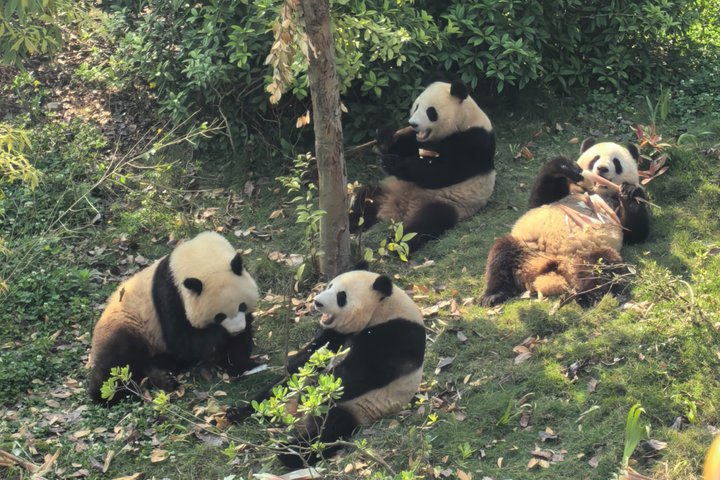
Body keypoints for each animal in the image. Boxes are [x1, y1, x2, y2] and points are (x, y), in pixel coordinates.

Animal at [89, 231, 259, 404]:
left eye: (242, 306)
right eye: (219, 316)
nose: (237, 330)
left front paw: (241, 365)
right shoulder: (170, 296)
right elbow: (182, 341)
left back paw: (159, 375)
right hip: (127, 323)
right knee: (116, 359)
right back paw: (109, 393)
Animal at [227, 267, 425, 467]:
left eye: (341, 296)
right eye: (330, 285)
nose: (317, 302)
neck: (382, 309)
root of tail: (295, 417)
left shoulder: (396, 335)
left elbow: (361, 373)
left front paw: (318, 388)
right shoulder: (338, 333)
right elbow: (315, 352)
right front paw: (295, 363)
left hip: (358, 408)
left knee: (329, 429)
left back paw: (290, 451)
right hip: (289, 393)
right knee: (274, 392)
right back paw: (239, 413)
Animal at [349, 80, 496, 251]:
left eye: (430, 111)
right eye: (417, 106)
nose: (412, 124)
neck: (464, 119)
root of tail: (399, 210)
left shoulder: (475, 141)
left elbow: (444, 172)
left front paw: (392, 163)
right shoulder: (416, 139)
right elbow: (404, 146)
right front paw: (384, 138)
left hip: (447, 203)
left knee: (425, 224)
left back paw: (394, 245)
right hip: (387, 189)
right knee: (365, 199)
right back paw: (351, 223)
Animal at [480, 139, 651, 307]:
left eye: (616, 162)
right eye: (595, 158)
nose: (602, 168)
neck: (597, 192)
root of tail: (553, 265)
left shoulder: (614, 206)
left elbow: (635, 233)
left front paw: (630, 192)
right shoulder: (565, 194)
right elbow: (539, 199)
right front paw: (564, 166)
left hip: (588, 254)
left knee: (602, 266)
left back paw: (586, 296)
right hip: (526, 246)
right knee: (501, 255)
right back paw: (493, 295)